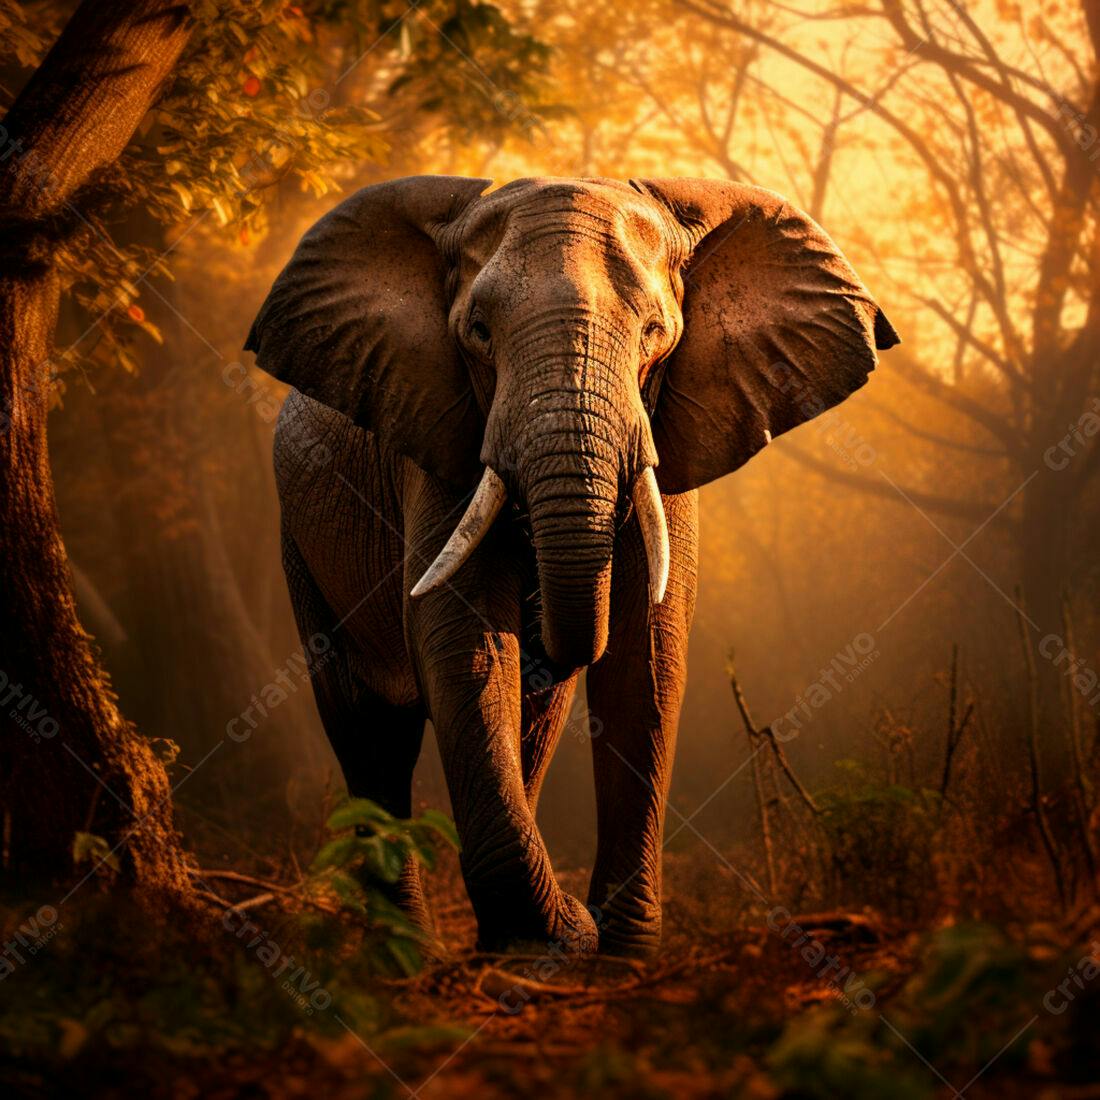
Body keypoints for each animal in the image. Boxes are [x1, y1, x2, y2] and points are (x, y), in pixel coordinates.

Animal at [245, 175, 898, 957]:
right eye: (478, 333)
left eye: (655, 333)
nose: (584, 922)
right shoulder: (438, 430)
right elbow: (464, 641)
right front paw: (559, 939)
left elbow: (647, 654)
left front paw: (619, 948)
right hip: (295, 534)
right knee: (366, 726)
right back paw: (412, 953)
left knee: (528, 717)